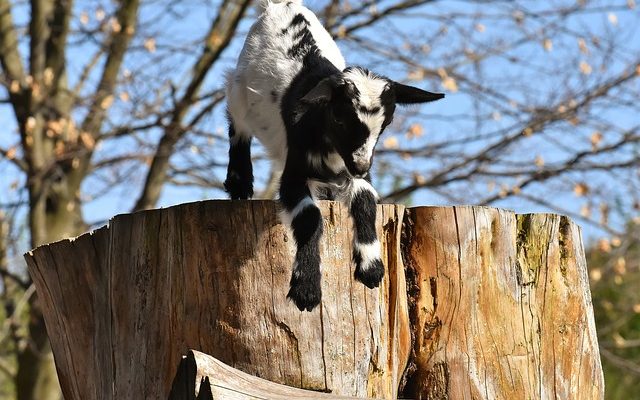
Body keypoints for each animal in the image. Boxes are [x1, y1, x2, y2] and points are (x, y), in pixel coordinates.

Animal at [224, 0, 440, 312]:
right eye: (339, 118)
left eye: (386, 123)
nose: (360, 165)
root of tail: (283, 5)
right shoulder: (295, 171)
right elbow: (309, 216)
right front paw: (306, 288)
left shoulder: (355, 172)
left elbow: (365, 202)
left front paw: (371, 267)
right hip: (240, 88)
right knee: (237, 124)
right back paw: (239, 183)